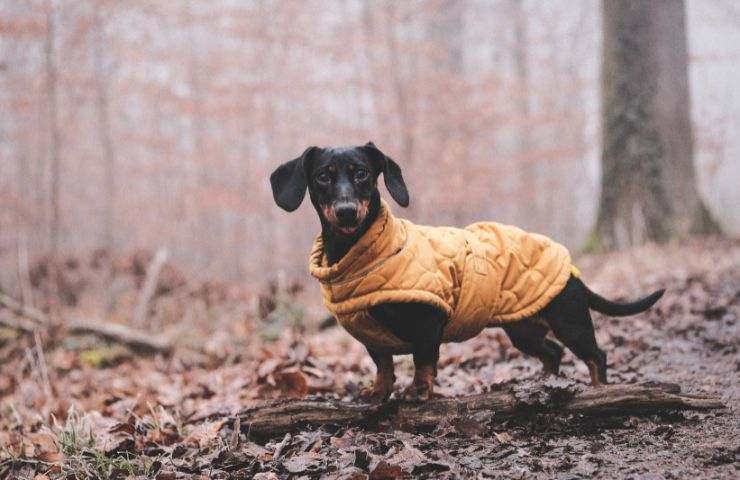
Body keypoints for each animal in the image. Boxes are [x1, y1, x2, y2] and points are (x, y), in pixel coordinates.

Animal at [270, 142, 664, 402]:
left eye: (362, 174)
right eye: (323, 177)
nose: (347, 211)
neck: (364, 254)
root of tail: (572, 272)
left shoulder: (428, 323)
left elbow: (423, 360)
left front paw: (419, 391)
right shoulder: (372, 340)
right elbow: (384, 365)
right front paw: (378, 392)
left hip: (571, 321)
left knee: (596, 355)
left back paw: (598, 390)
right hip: (523, 329)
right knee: (552, 353)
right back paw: (541, 384)